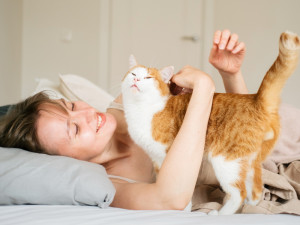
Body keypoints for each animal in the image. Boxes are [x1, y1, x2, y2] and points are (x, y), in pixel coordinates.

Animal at [120, 31, 300, 214]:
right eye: (133, 74)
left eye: (148, 77)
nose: (136, 80)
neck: (141, 109)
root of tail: (256, 99)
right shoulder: (157, 160)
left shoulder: (169, 157)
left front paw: (183, 211)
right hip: (248, 163)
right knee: (256, 190)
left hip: (225, 160)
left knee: (239, 193)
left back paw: (221, 213)